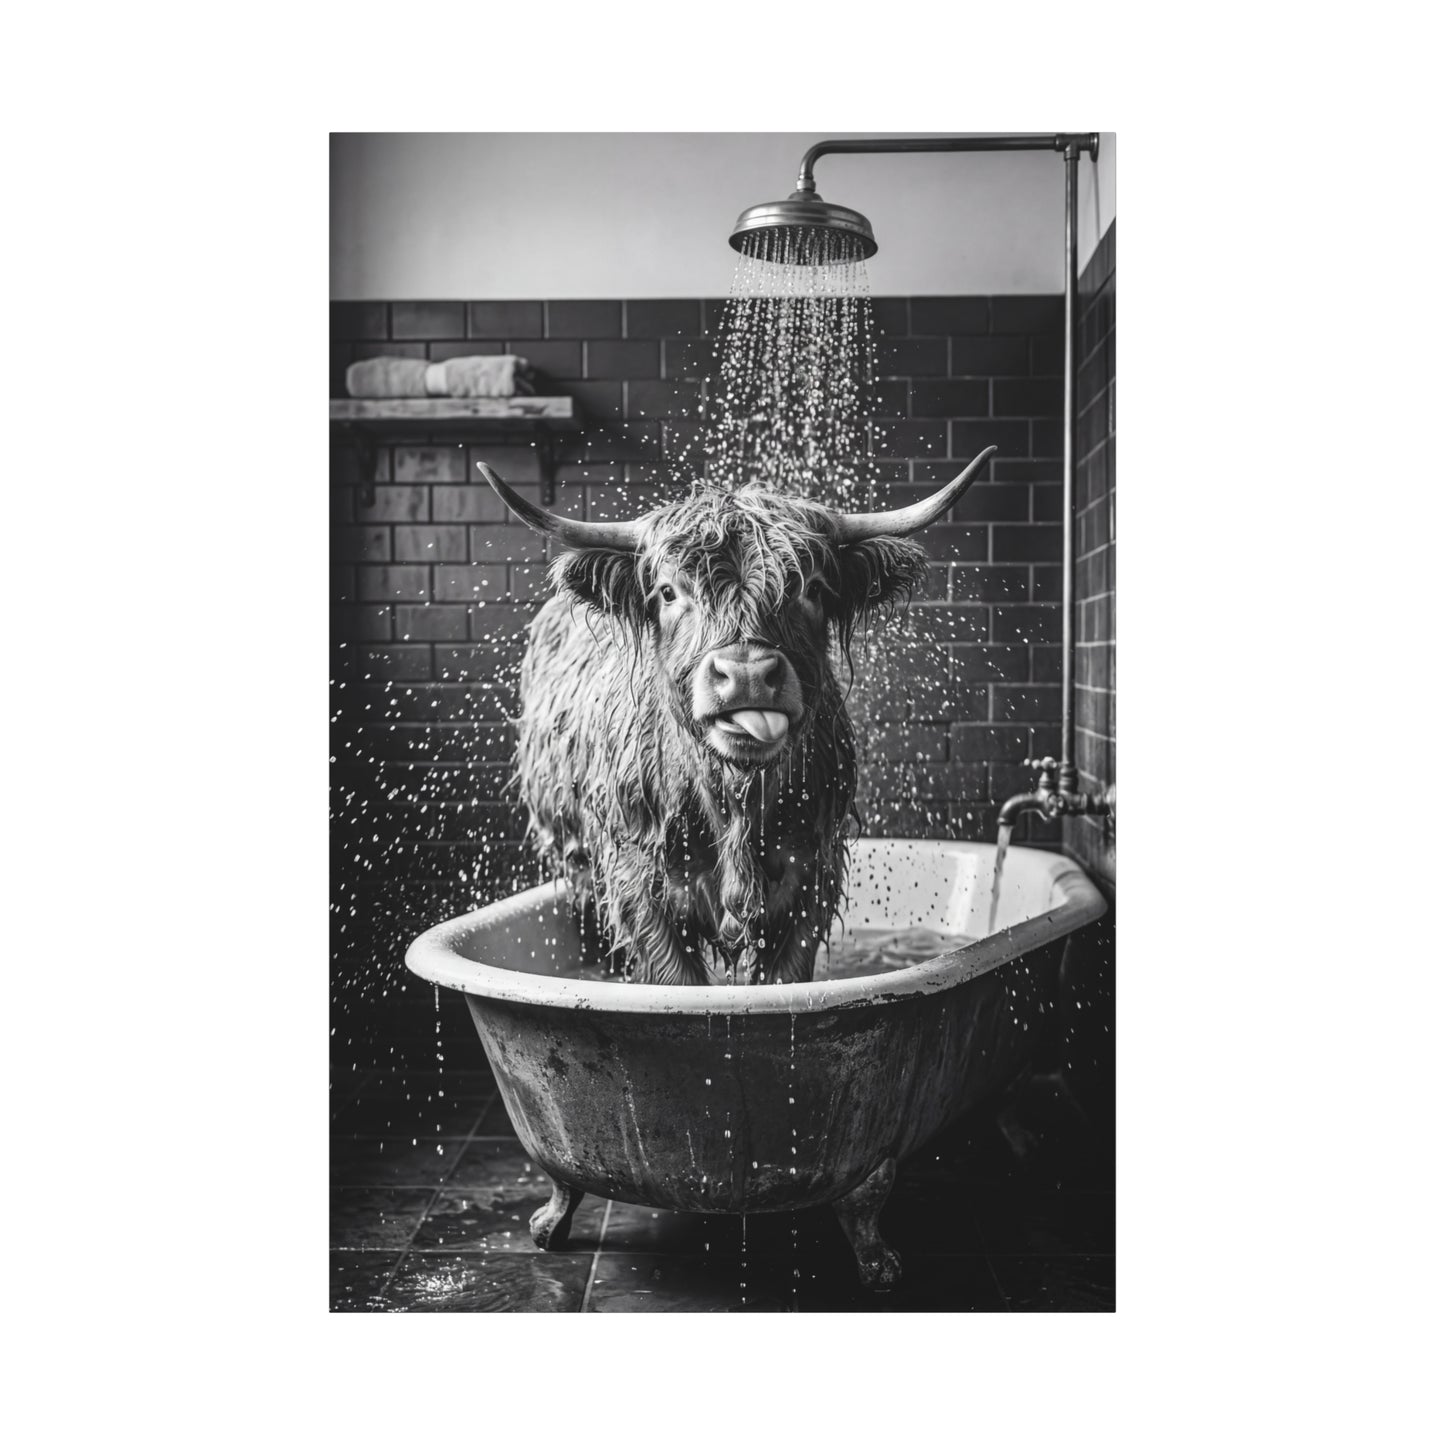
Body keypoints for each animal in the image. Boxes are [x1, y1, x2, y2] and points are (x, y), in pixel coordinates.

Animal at [478, 447, 995, 986]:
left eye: (812, 588)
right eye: (668, 592)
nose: (746, 674)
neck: (735, 797)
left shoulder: (813, 873)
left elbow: (783, 978)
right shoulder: (636, 877)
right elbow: (674, 978)